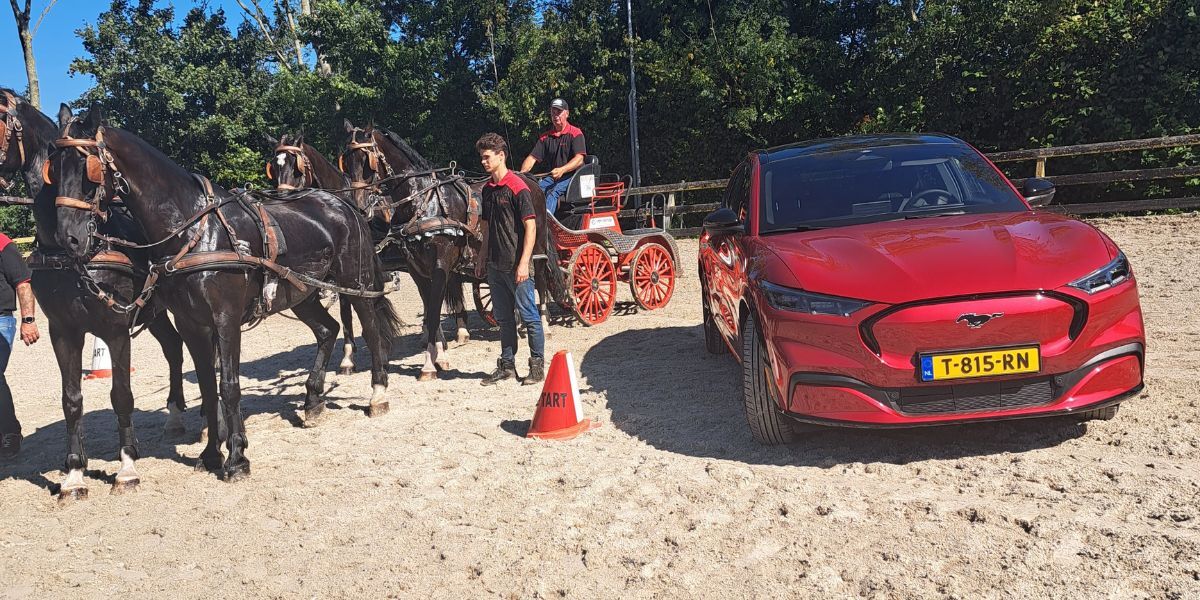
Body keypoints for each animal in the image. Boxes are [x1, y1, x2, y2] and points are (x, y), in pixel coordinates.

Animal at [1, 92, 188, 501]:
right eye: (54, 167)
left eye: (91, 172)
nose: (70, 237)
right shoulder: (63, 331)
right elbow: (71, 399)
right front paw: (73, 475)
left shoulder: (115, 328)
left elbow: (121, 394)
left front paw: (127, 467)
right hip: (153, 313)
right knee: (172, 348)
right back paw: (174, 415)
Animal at [49, 111, 403, 482]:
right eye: (54, 166)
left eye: (87, 167)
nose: (67, 237)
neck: (194, 230)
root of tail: (343, 203)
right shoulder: (191, 323)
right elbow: (207, 385)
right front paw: (210, 453)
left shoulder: (225, 319)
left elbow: (229, 385)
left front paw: (237, 457)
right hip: (301, 292)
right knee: (327, 330)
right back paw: (312, 401)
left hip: (354, 282)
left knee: (370, 328)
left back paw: (377, 394)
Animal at [340, 120, 470, 379]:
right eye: (346, 163)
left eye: (367, 162)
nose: (359, 207)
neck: (422, 202)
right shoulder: (416, 268)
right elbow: (430, 308)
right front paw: (435, 356)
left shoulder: (440, 263)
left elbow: (434, 308)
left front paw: (433, 361)